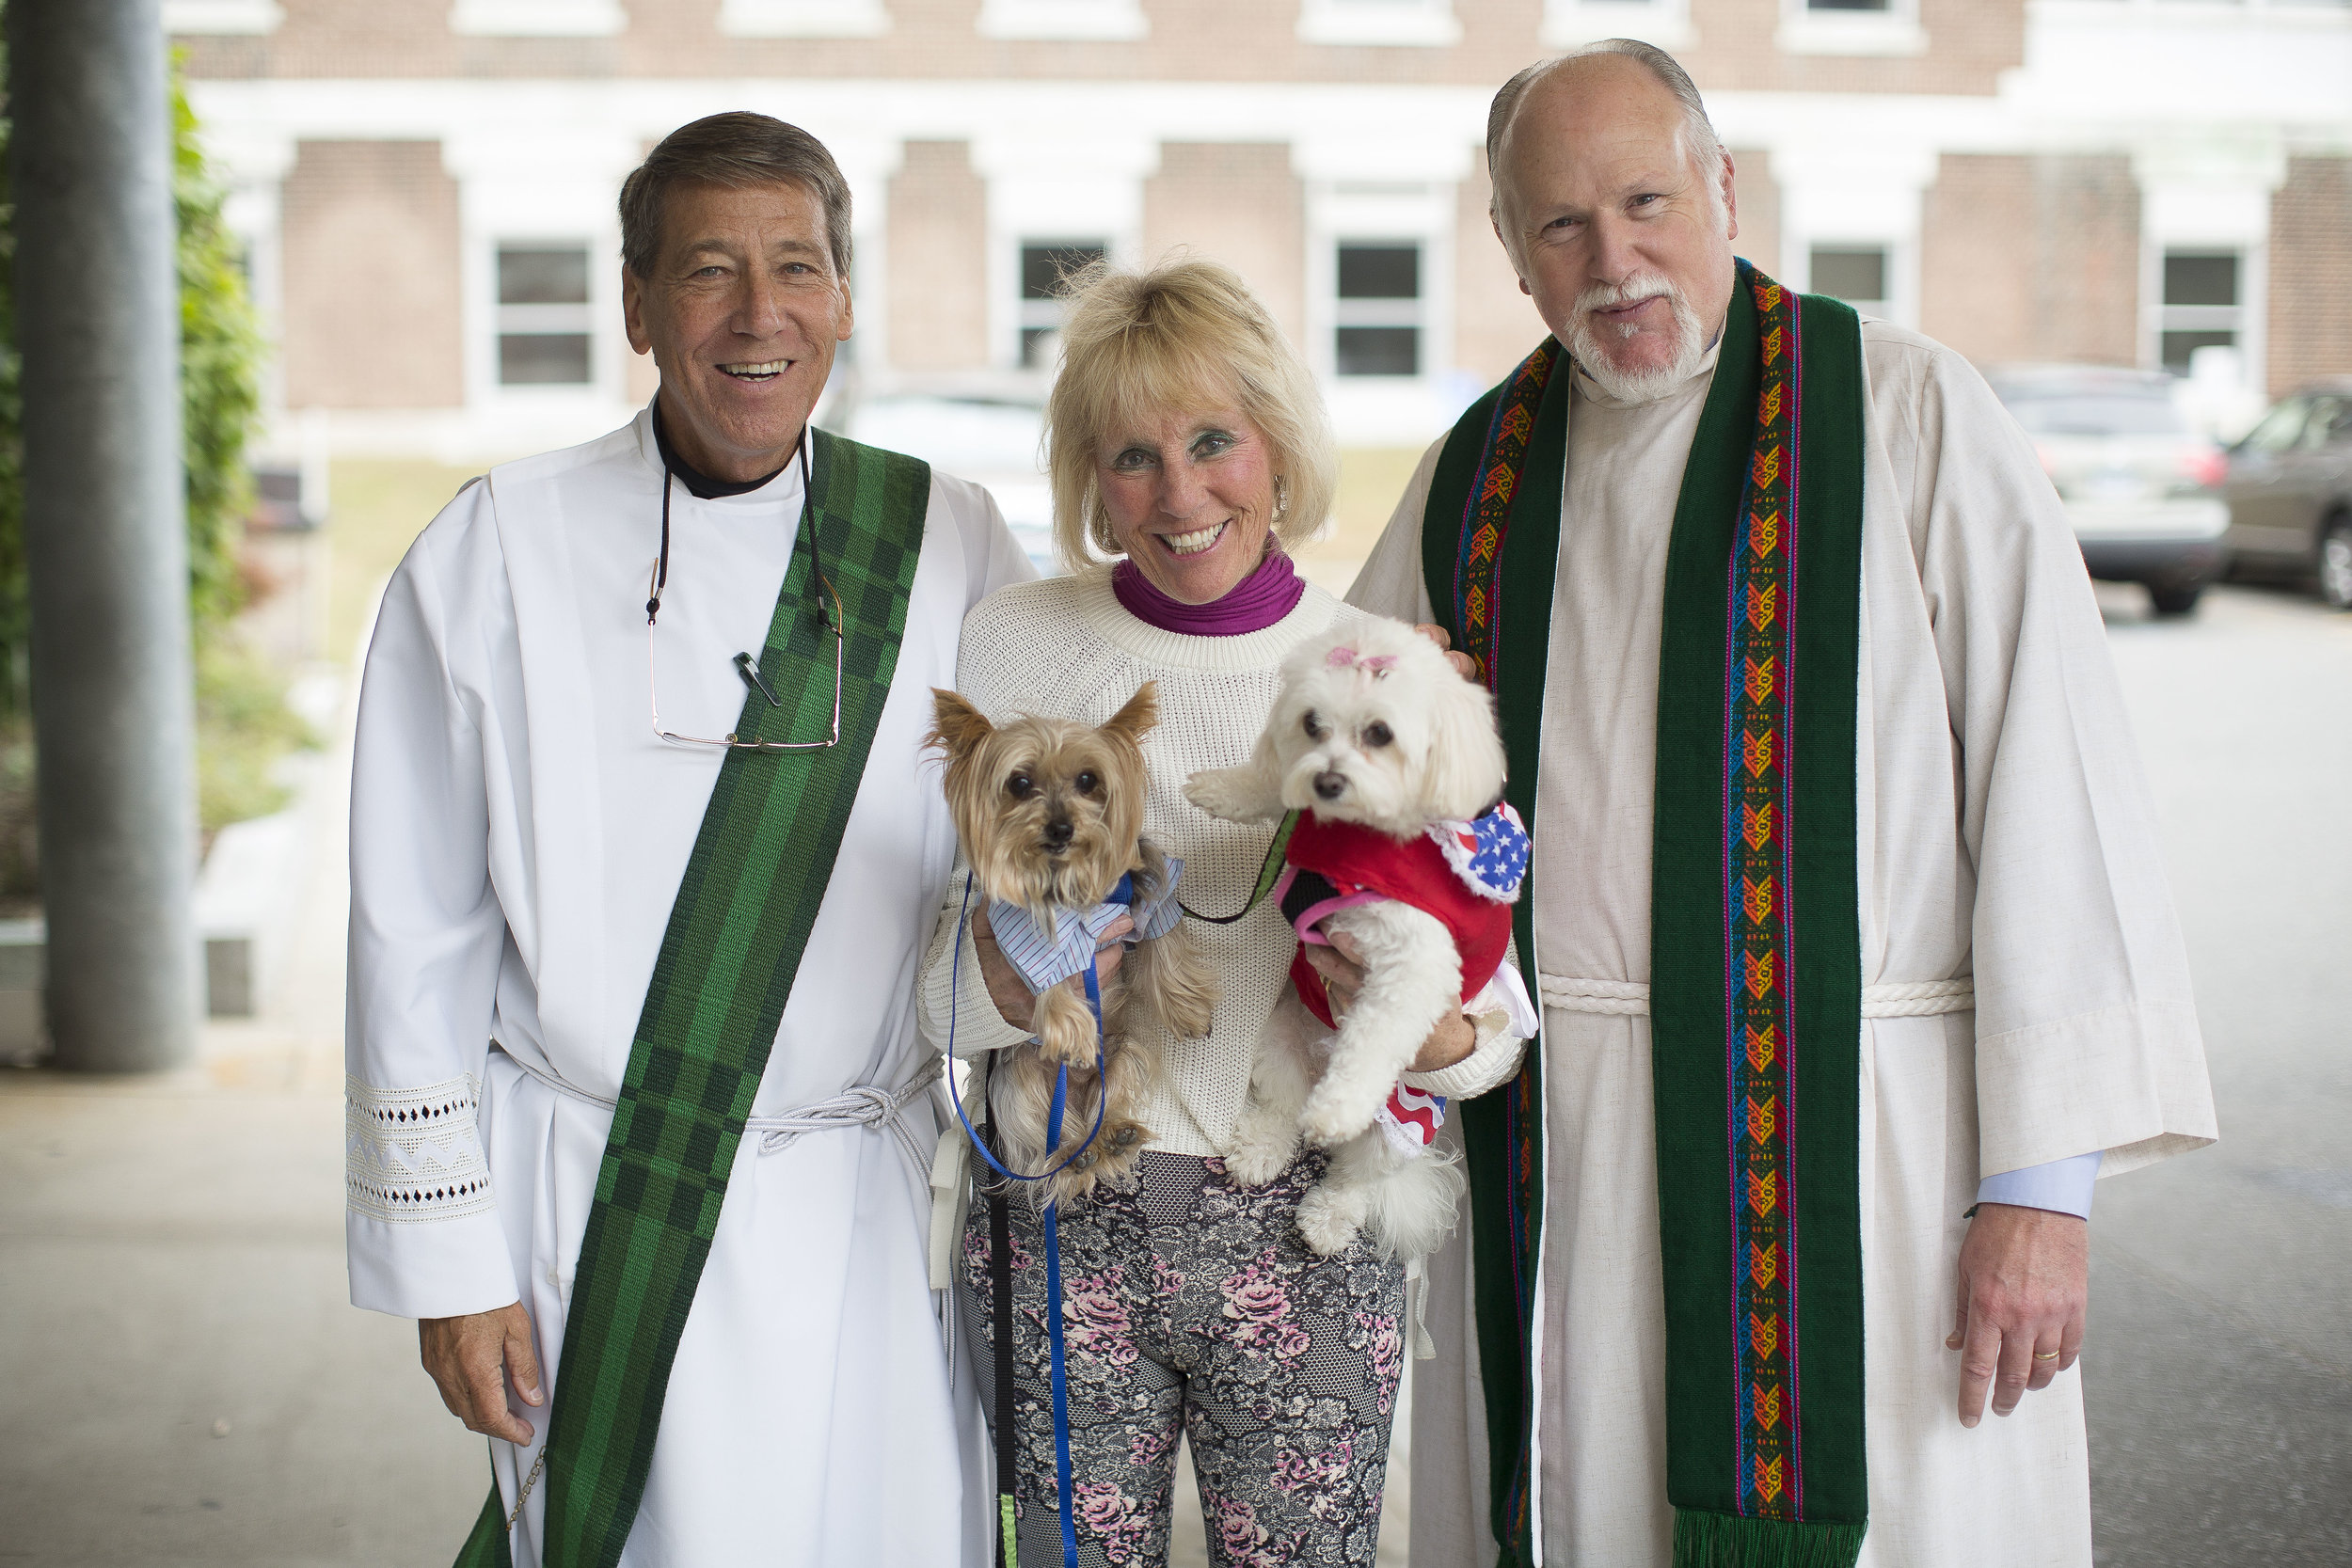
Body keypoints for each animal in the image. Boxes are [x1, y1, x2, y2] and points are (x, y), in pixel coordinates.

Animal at [1195, 615, 1524, 1259]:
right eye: (1311, 723)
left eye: (1380, 733)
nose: (1325, 780)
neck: (1360, 834)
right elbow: (1268, 784)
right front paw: (1222, 789)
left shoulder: (1415, 967)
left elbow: (1375, 1037)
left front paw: (1337, 1107)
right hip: (1278, 1037)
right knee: (1282, 1106)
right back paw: (1259, 1151)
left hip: (1397, 1122)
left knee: (1357, 1173)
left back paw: (1329, 1212)